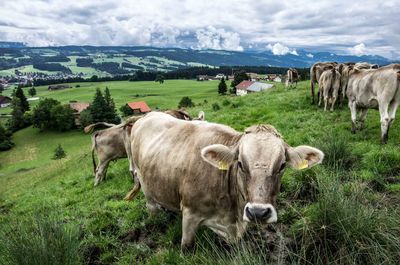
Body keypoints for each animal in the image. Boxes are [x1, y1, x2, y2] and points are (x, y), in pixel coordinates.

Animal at [126, 111, 324, 248]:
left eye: (282, 165)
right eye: (240, 163)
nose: (258, 213)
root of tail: (146, 116)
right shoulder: (190, 213)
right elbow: (187, 246)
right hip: (145, 184)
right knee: (151, 207)